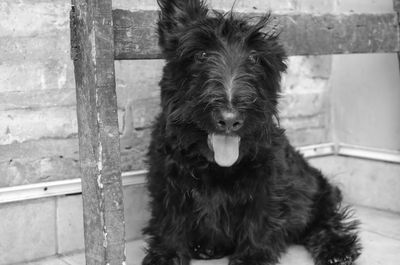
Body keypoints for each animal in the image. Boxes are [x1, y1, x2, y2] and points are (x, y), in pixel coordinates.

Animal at [142, 1, 360, 262]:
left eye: (256, 58)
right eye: (201, 54)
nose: (229, 120)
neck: (216, 165)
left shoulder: (266, 184)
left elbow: (259, 221)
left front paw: (251, 257)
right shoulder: (168, 181)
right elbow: (169, 221)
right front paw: (166, 255)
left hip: (317, 189)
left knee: (325, 218)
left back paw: (337, 247)